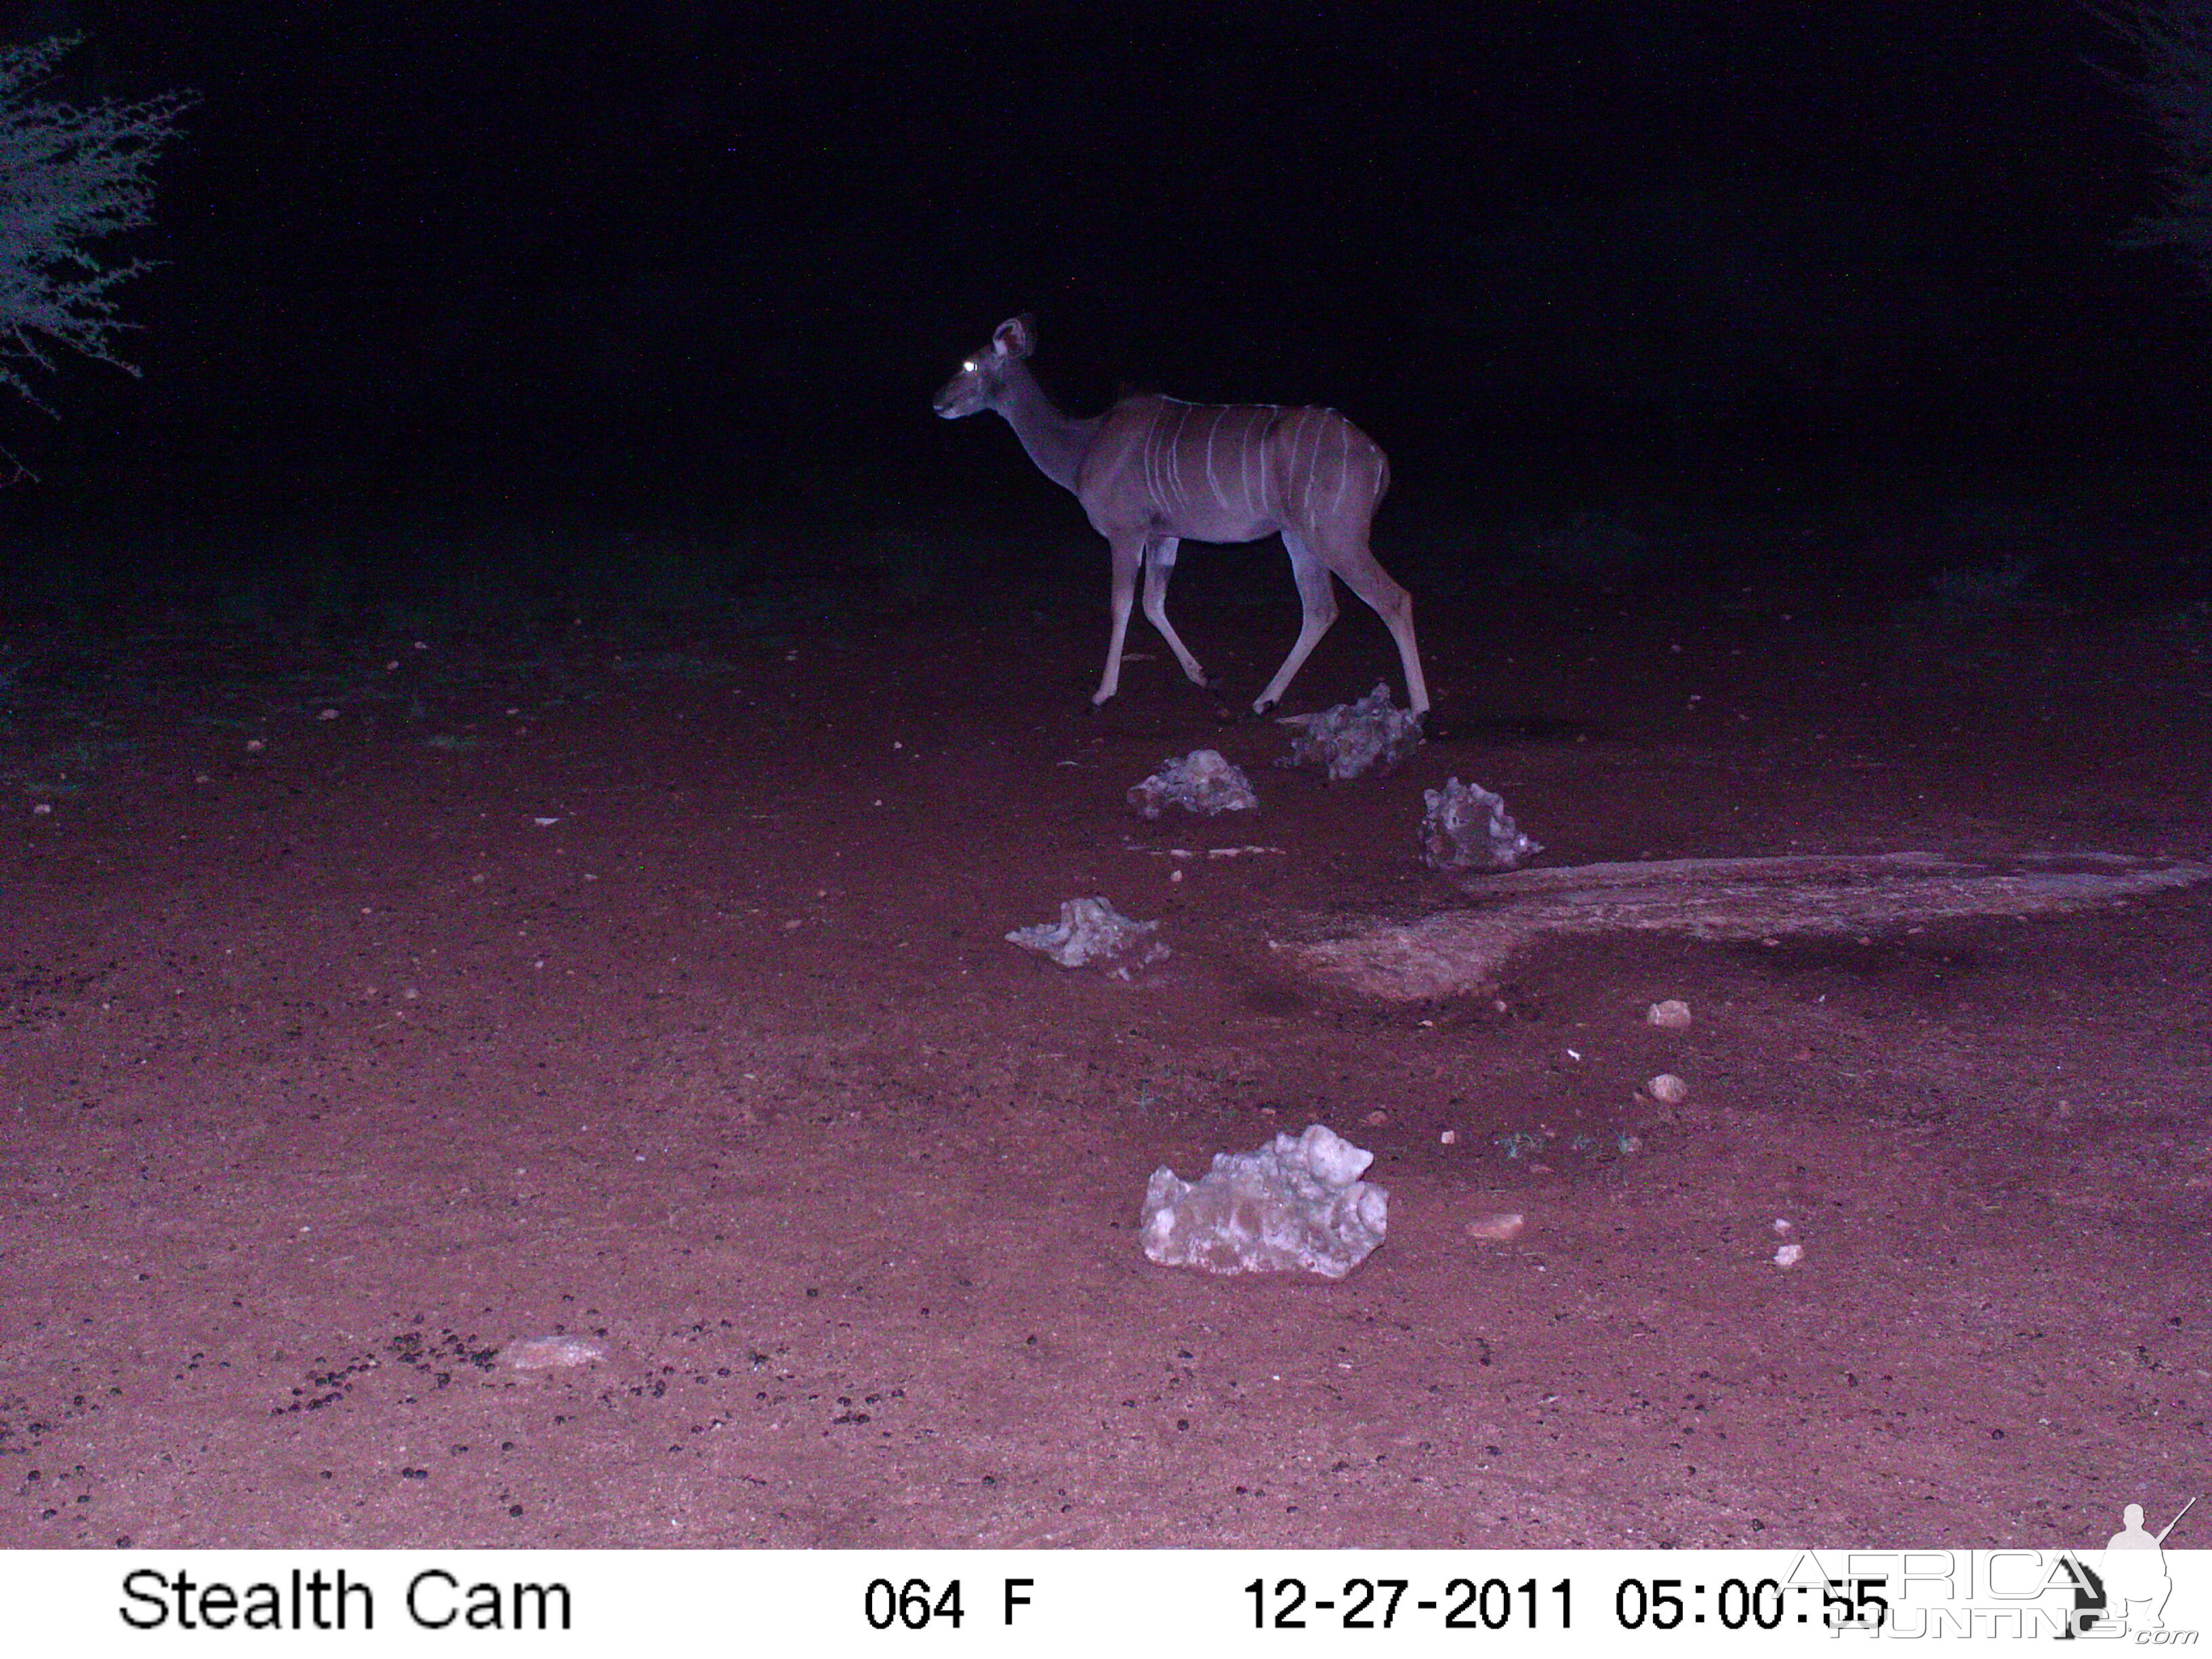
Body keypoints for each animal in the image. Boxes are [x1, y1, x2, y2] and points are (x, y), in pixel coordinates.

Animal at [928, 319, 1415, 721]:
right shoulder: (1164, 534)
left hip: (1336, 534)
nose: (938, 403)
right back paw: (1263, 701)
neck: (1084, 446)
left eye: (970, 364)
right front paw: (1205, 677)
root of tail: (1379, 459)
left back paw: (1421, 713)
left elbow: (1122, 604)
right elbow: (1153, 603)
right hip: (1300, 537)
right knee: (1320, 608)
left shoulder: (1126, 532)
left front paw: (1102, 695)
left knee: (1392, 598)